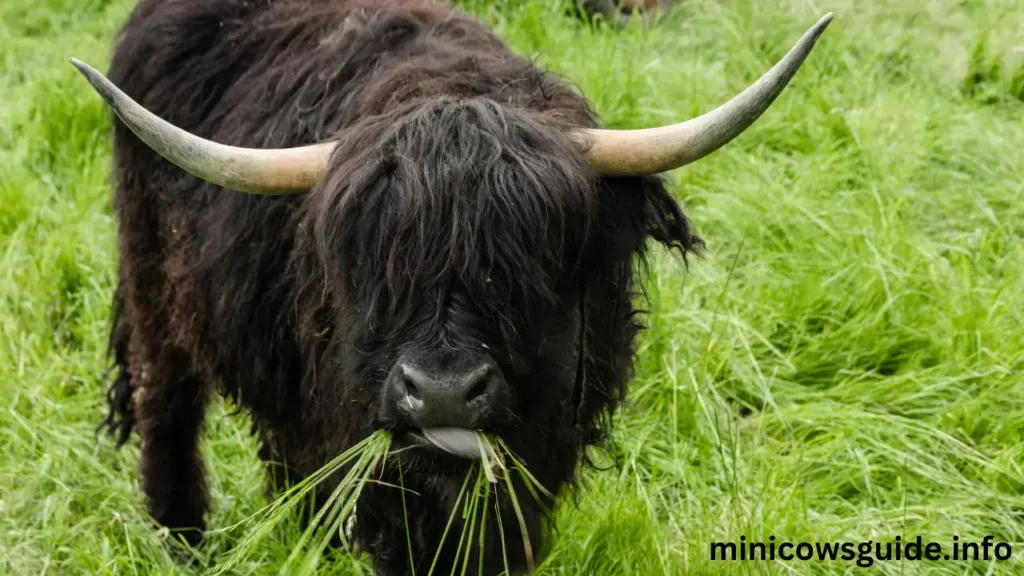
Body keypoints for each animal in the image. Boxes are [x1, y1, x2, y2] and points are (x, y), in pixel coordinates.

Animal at [79, 2, 831, 569]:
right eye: (377, 263)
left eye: (528, 264)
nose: (440, 393)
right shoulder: (375, 455)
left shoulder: (539, 451)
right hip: (154, 287)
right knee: (166, 405)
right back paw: (184, 542)